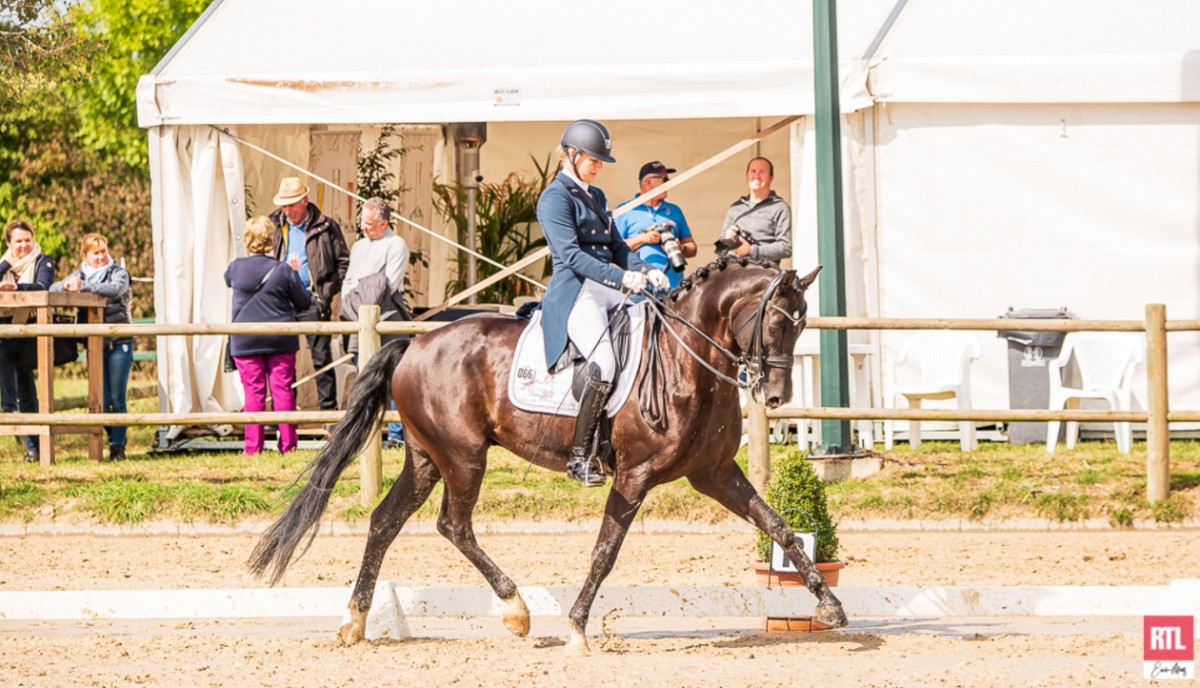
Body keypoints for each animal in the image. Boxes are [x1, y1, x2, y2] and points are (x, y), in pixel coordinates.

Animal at [248, 255, 849, 648]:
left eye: (801, 325)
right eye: (776, 322)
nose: (776, 397)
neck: (686, 363)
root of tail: (414, 342)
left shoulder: (716, 474)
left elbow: (780, 526)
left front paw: (829, 604)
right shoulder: (633, 477)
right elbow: (605, 552)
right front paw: (579, 627)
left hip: (426, 457)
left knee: (384, 521)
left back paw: (354, 621)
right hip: (464, 456)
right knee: (453, 525)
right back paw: (515, 611)